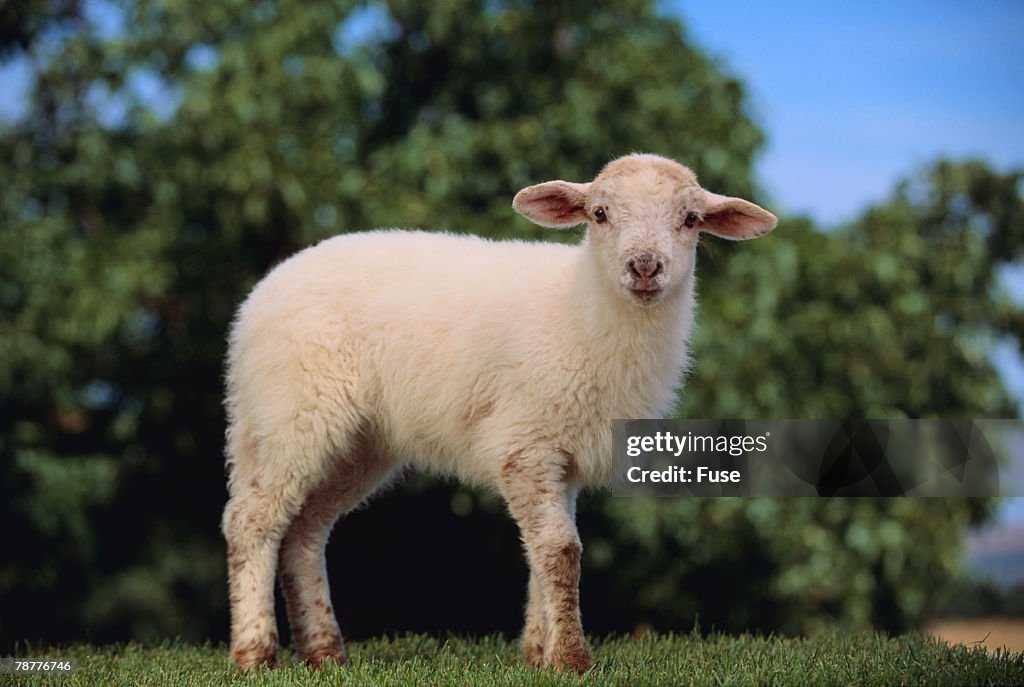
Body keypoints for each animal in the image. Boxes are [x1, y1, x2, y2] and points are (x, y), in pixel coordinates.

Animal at [220, 153, 770, 675]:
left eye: (691, 219)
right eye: (599, 213)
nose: (645, 267)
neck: (579, 306)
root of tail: (260, 294)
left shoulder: (560, 454)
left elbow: (543, 552)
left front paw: (538, 653)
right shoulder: (527, 442)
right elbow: (560, 551)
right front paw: (571, 660)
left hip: (357, 441)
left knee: (305, 531)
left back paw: (324, 653)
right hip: (290, 412)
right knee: (252, 521)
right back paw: (255, 654)